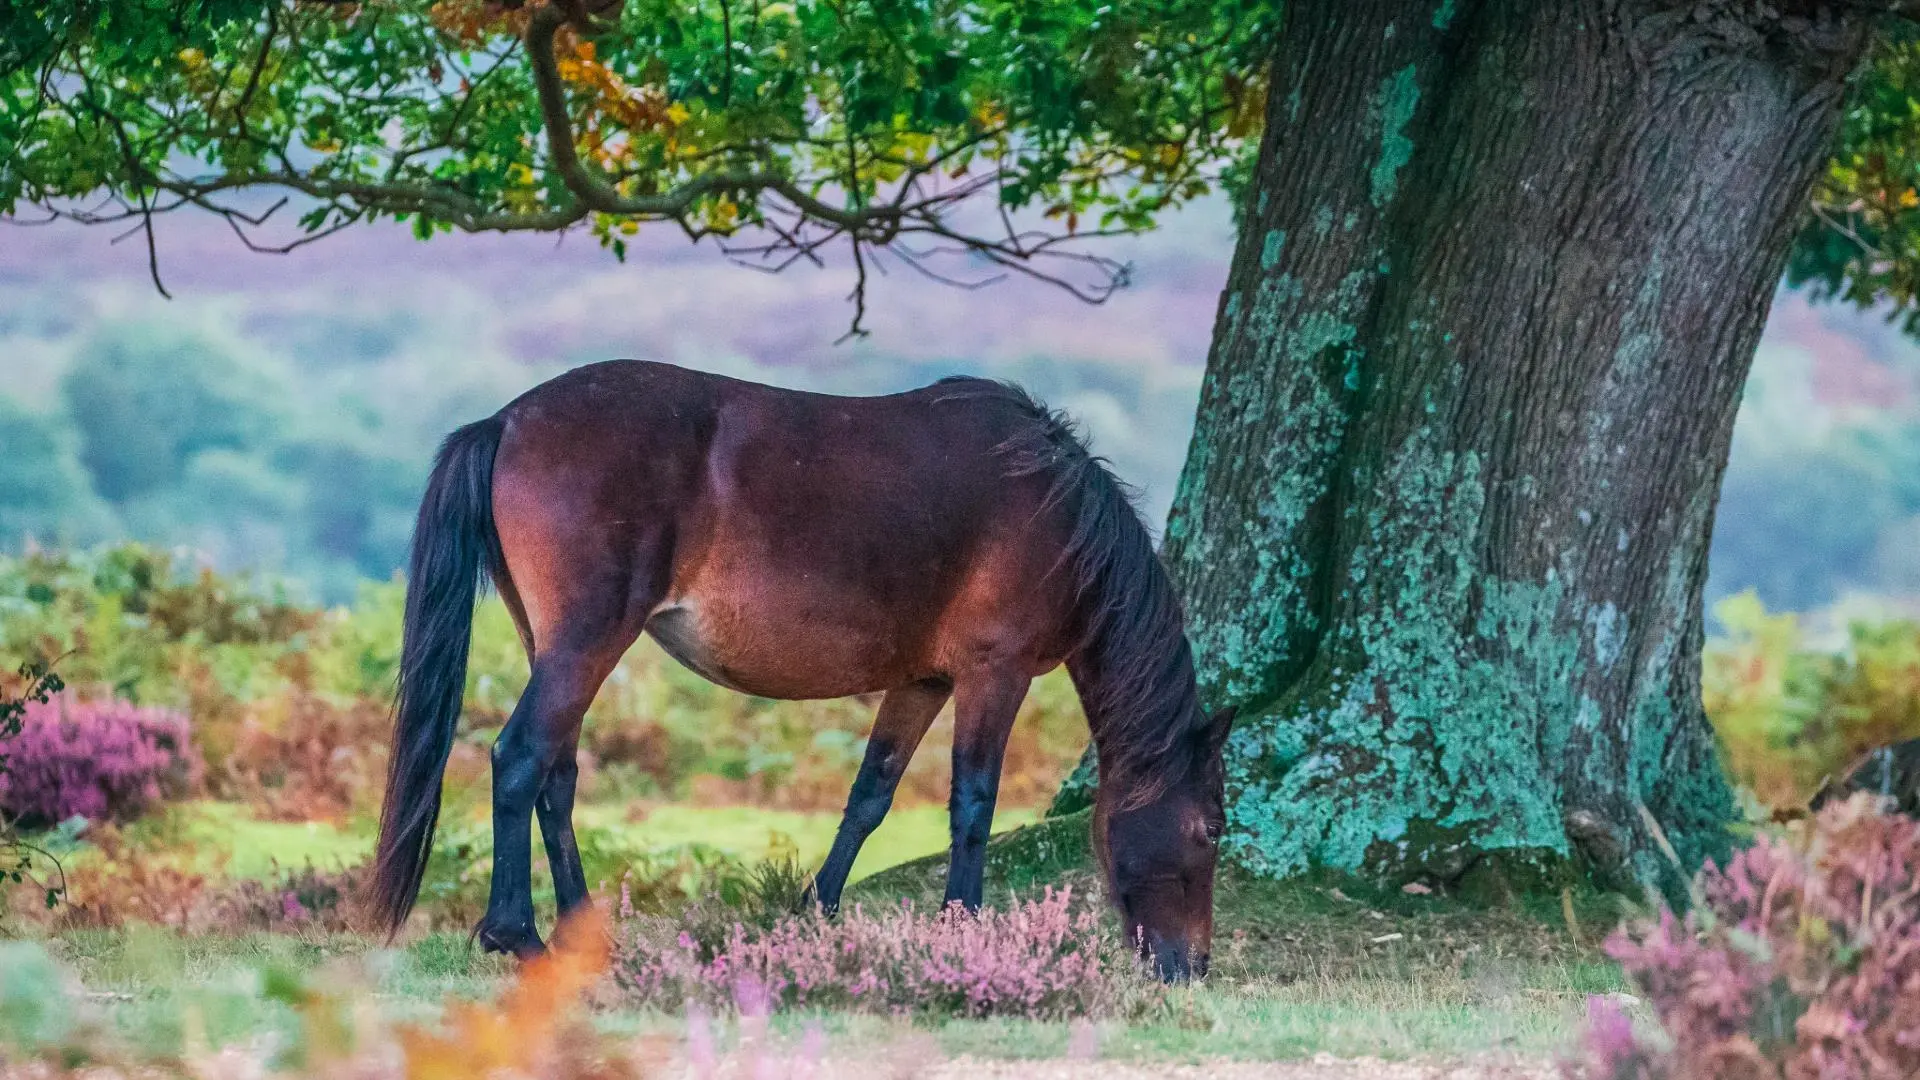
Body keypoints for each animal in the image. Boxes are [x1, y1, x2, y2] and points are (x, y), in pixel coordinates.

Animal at [368, 359, 1235, 981]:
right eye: (1211, 828)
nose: (1190, 968)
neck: (1053, 506)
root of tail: (507, 420)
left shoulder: (922, 680)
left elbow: (870, 795)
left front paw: (815, 912)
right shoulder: (997, 672)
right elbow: (972, 804)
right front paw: (964, 929)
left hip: (549, 643)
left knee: (556, 774)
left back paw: (585, 935)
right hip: (587, 640)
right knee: (519, 760)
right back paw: (520, 936)